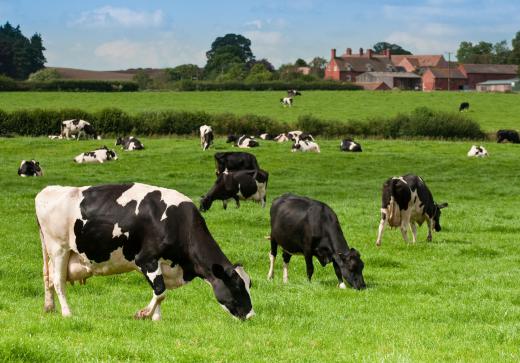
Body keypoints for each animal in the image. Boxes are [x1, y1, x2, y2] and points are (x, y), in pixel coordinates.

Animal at [35, 185, 255, 322]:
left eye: (249, 284)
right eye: (236, 286)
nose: (251, 315)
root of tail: (48, 190)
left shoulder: (163, 264)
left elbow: (159, 292)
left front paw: (156, 318)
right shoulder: (146, 258)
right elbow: (160, 291)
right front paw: (143, 314)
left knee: (48, 279)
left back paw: (49, 308)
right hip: (59, 249)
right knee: (58, 282)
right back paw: (67, 313)